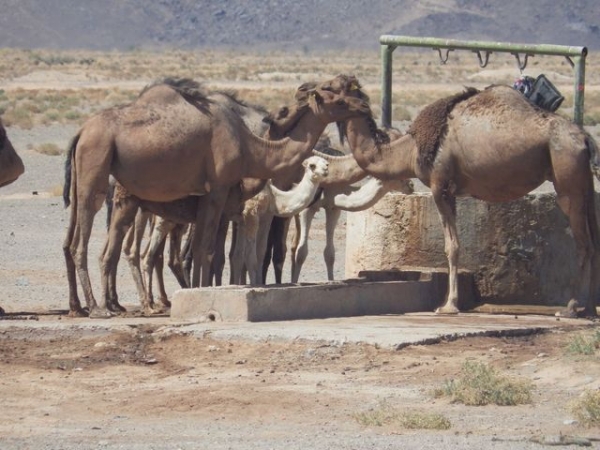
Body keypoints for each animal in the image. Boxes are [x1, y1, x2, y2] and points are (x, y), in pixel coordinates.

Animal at [231, 155, 328, 284]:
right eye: (312, 165)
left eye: (327, 163)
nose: (325, 170)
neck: (274, 197)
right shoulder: (251, 214)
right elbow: (250, 257)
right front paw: (253, 285)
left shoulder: (254, 219)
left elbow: (246, 255)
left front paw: (244, 284)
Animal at [338, 82, 600, 318]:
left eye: (335, 90)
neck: (411, 150)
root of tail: (585, 138)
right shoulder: (452, 192)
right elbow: (454, 245)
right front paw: (450, 302)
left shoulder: (439, 186)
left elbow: (451, 247)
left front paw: (448, 306)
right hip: (585, 185)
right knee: (593, 240)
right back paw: (589, 308)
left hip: (567, 180)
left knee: (583, 244)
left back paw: (571, 308)